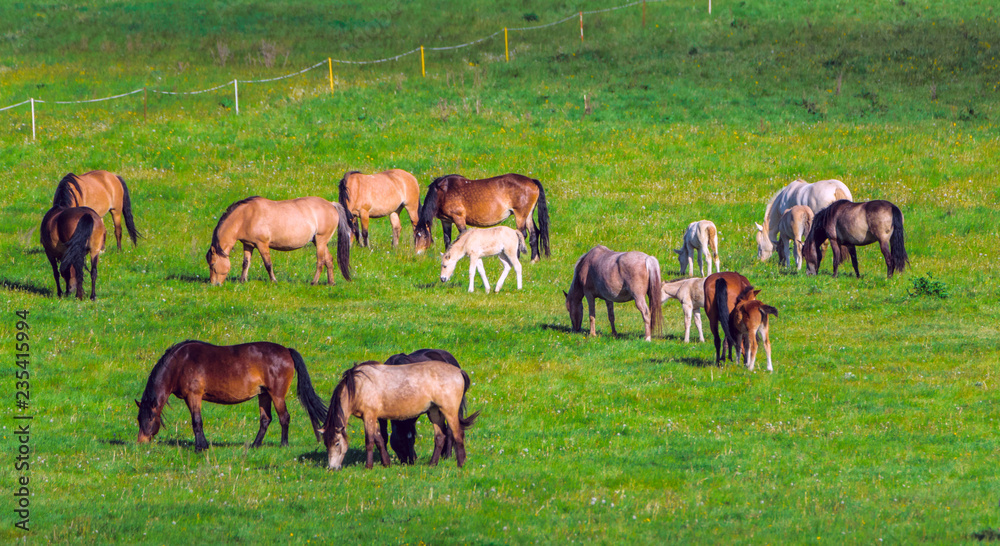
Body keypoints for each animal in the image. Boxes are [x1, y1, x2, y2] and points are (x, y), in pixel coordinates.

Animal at [135, 340, 329, 452]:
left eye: (151, 418)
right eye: (138, 419)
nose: (141, 442)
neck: (180, 362)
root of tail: (286, 351)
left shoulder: (194, 396)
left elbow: (197, 422)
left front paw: (200, 447)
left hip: (277, 395)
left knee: (284, 418)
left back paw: (284, 445)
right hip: (264, 394)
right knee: (266, 420)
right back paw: (255, 446)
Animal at [205, 196, 352, 285]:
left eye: (212, 264)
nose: (214, 284)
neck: (246, 215)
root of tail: (331, 205)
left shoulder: (262, 244)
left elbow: (268, 264)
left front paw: (273, 280)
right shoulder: (248, 245)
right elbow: (246, 263)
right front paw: (243, 280)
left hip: (321, 240)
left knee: (320, 261)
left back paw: (313, 282)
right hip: (318, 241)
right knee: (329, 259)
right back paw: (331, 282)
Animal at [323, 361, 480, 470]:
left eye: (337, 443)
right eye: (326, 443)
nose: (332, 468)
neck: (358, 385)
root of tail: (459, 371)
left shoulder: (369, 416)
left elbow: (370, 441)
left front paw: (369, 466)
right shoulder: (373, 418)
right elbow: (379, 440)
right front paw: (386, 463)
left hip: (449, 411)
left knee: (458, 434)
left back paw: (461, 464)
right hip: (435, 412)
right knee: (440, 437)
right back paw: (432, 464)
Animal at [414, 173, 550, 262]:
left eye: (424, 236)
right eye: (415, 237)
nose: (417, 253)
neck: (443, 192)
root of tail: (531, 180)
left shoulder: (458, 218)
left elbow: (462, 236)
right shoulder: (446, 221)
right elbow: (447, 239)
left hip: (520, 215)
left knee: (522, 234)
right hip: (528, 215)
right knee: (534, 234)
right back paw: (534, 259)